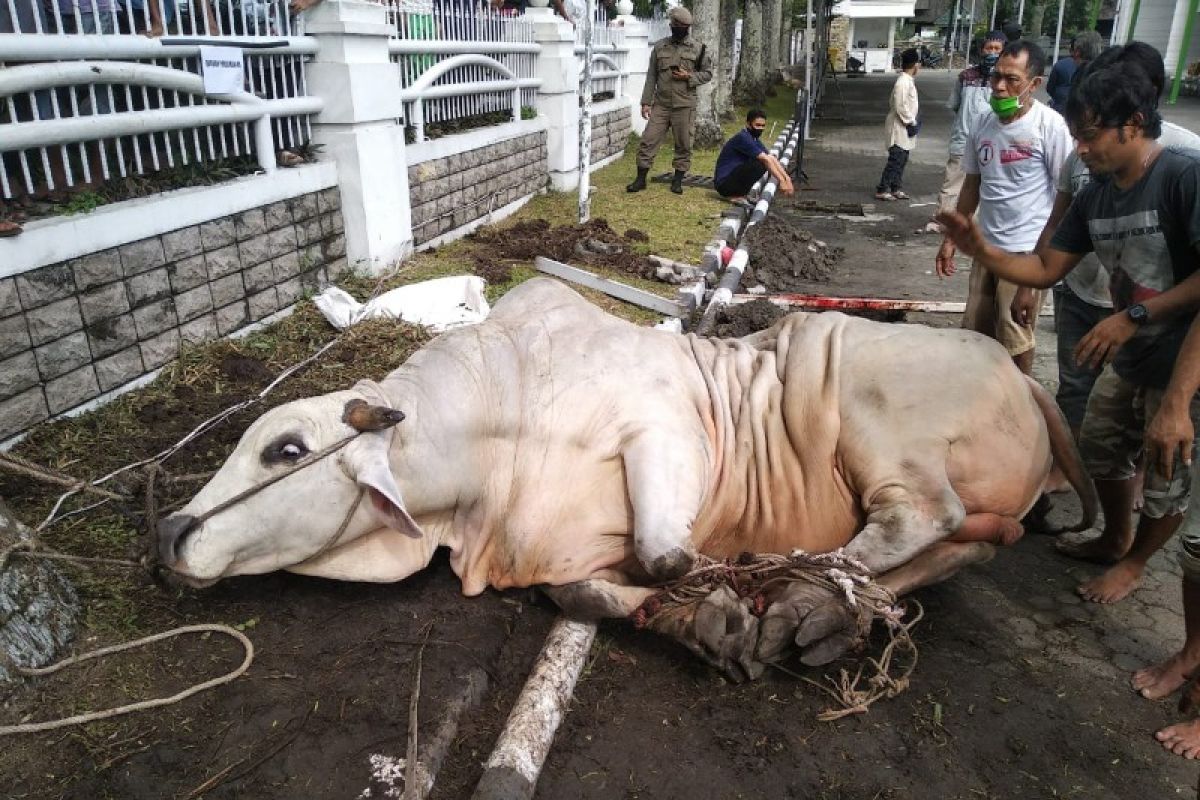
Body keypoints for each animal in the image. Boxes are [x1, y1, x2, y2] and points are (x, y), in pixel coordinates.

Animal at [159, 278, 1099, 681]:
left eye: (284, 449)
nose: (168, 531)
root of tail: (1021, 375)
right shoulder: (562, 556)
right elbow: (592, 593)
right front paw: (707, 624)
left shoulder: (662, 428)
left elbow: (664, 555)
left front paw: (725, 590)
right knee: (953, 550)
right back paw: (820, 608)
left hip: (877, 425)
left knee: (918, 518)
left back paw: (799, 579)